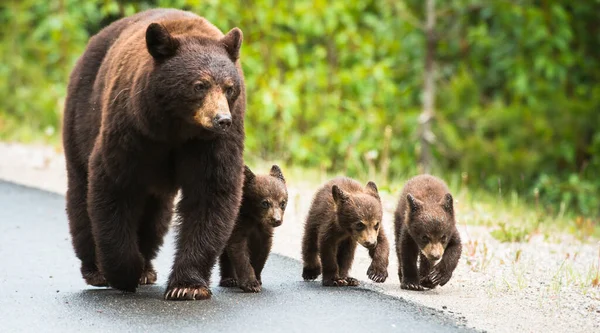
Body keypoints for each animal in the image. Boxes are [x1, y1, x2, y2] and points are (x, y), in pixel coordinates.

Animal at [62, 7, 246, 300]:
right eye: (200, 85)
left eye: (229, 87)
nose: (222, 120)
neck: (176, 128)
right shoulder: (132, 129)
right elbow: (114, 184)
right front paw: (124, 272)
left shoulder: (212, 144)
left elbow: (211, 192)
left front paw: (187, 286)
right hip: (82, 114)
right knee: (81, 192)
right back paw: (96, 269)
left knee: (155, 215)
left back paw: (146, 267)